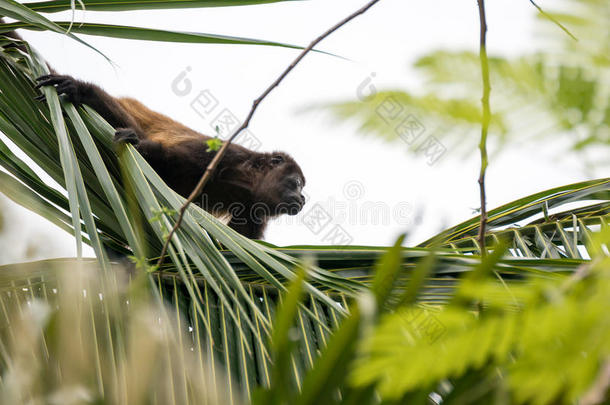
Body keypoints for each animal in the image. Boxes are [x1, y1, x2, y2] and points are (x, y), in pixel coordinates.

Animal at [0, 20, 306, 238]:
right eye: (297, 182)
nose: (303, 197)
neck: (245, 182)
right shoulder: (220, 155)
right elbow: (169, 157)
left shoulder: (255, 212)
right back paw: (85, 93)